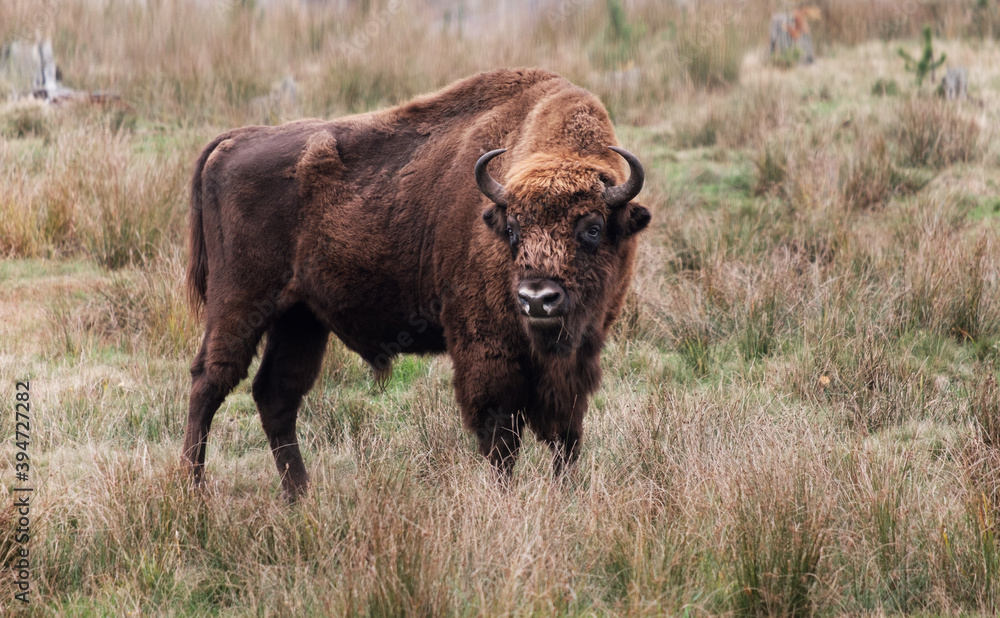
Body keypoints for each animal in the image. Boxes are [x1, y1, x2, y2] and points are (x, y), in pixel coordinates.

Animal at [184, 70, 652, 498]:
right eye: (513, 228)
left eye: (592, 228)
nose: (538, 299)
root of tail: (233, 140)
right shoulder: (486, 349)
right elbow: (501, 437)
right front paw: (503, 498)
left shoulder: (577, 357)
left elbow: (565, 434)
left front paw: (564, 495)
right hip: (241, 304)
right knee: (209, 382)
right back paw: (195, 489)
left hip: (300, 318)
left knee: (275, 395)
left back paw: (300, 495)